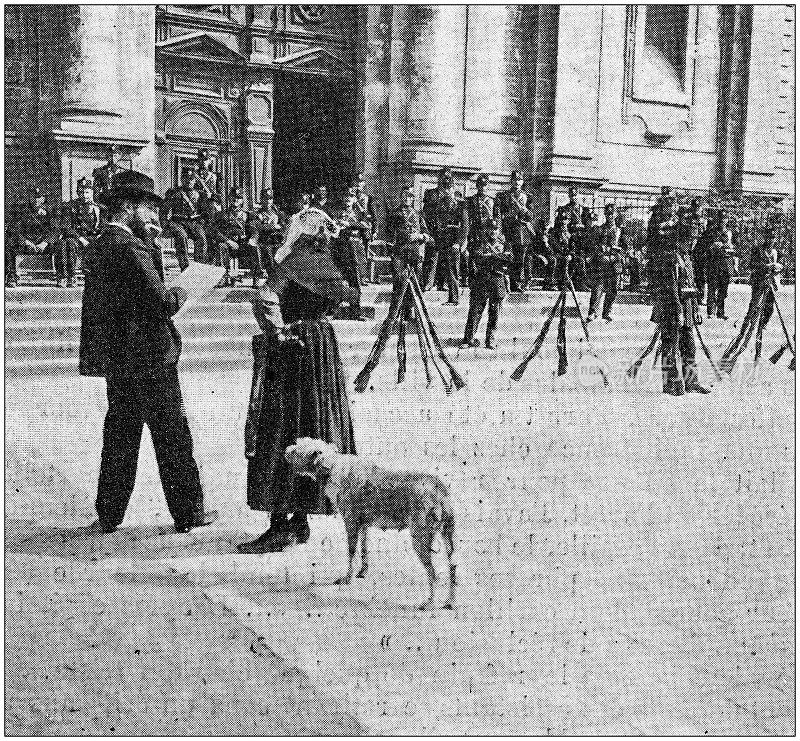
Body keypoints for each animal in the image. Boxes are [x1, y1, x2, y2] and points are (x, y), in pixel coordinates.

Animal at [286, 436, 456, 608]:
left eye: (298, 448)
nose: (286, 450)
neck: (334, 466)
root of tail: (440, 490)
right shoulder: (363, 525)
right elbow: (364, 548)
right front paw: (362, 571)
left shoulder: (351, 522)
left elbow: (351, 552)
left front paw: (347, 577)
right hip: (448, 537)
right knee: (452, 567)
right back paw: (450, 601)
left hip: (420, 538)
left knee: (433, 573)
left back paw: (430, 602)